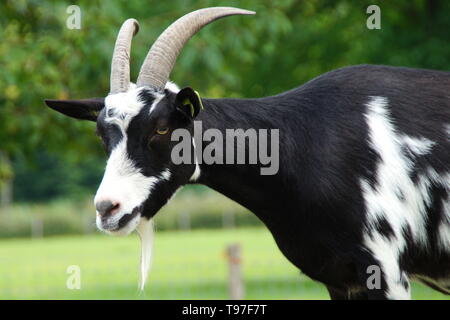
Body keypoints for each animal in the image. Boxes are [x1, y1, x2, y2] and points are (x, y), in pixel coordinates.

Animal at [44, 6, 448, 298]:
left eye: (161, 128)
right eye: (102, 135)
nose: (107, 209)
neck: (305, 145)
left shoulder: (385, 270)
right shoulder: (340, 279)